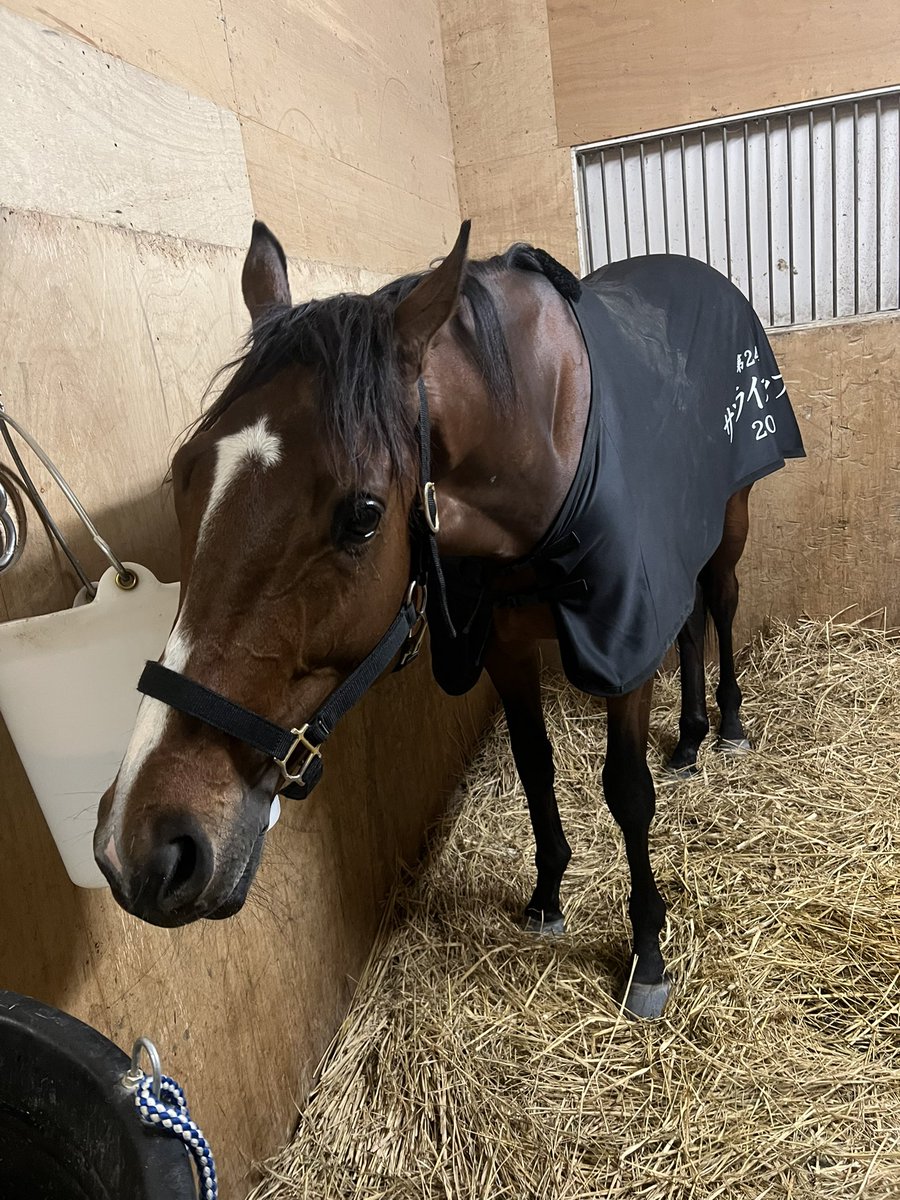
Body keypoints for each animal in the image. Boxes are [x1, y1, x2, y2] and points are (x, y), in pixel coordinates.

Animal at [94, 220, 803, 1018]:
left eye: (363, 515)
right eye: (185, 475)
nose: (146, 844)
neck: (542, 446)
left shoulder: (622, 642)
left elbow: (626, 792)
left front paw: (647, 950)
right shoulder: (503, 646)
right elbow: (534, 767)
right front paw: (547, 893)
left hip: (729, 516)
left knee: (721, 604)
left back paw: (729, 725)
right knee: (687, 624)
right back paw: (687, 738)